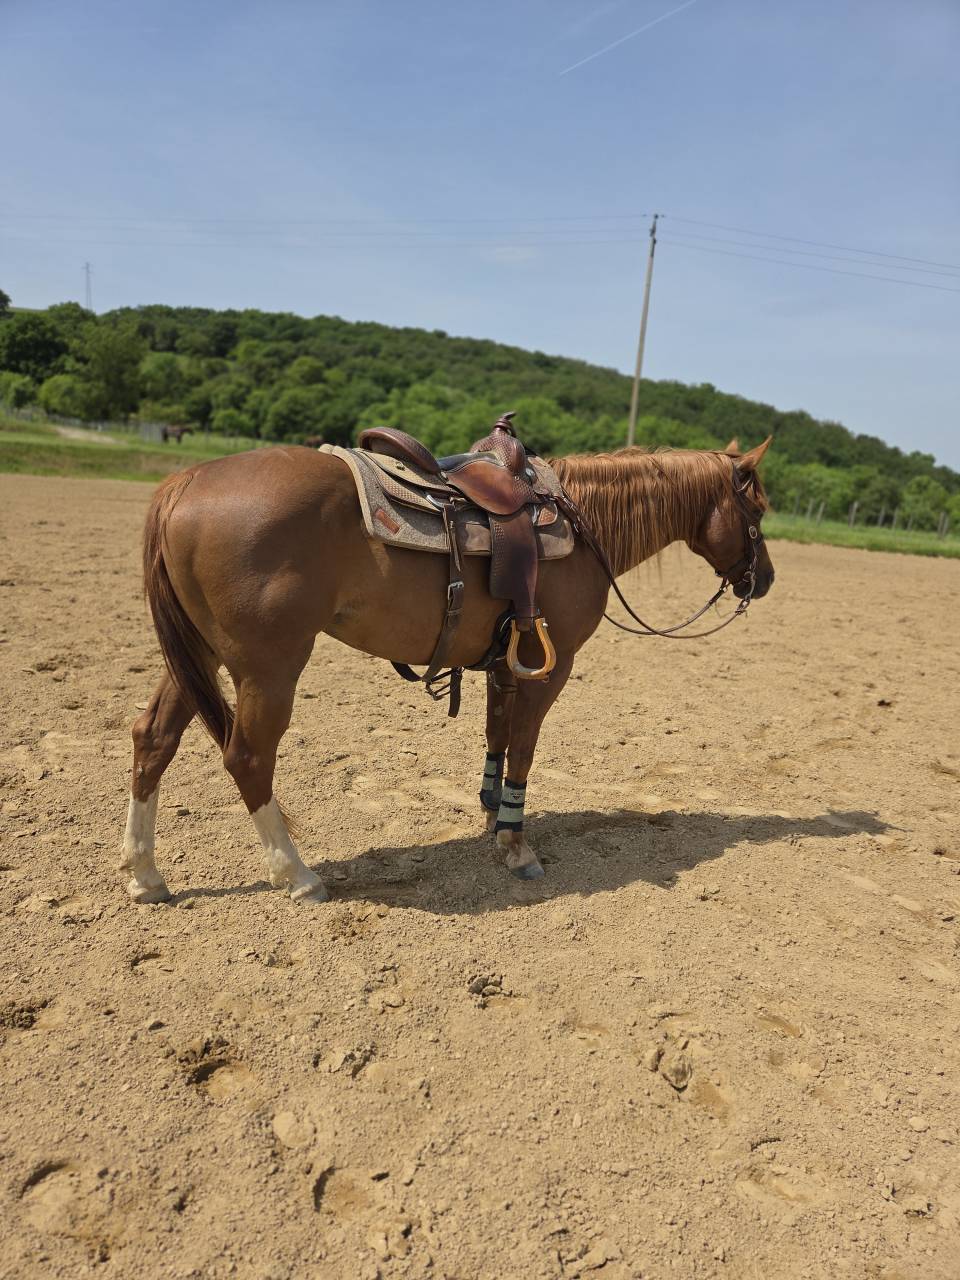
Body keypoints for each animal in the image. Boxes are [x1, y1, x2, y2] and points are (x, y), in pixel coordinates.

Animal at [120, 436, 774, 904]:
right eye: (759, 508)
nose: (763, 579)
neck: (582, 522)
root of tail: (187, 481)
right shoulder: (550, 668)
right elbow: (524, 749)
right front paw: (516, 846)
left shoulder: (506, 664)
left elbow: (497, 736)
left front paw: (492, 814)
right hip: (269, 666)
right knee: (248, 757)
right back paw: (297, 875)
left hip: (197, 655)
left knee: (153, 738)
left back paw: (145, 874)